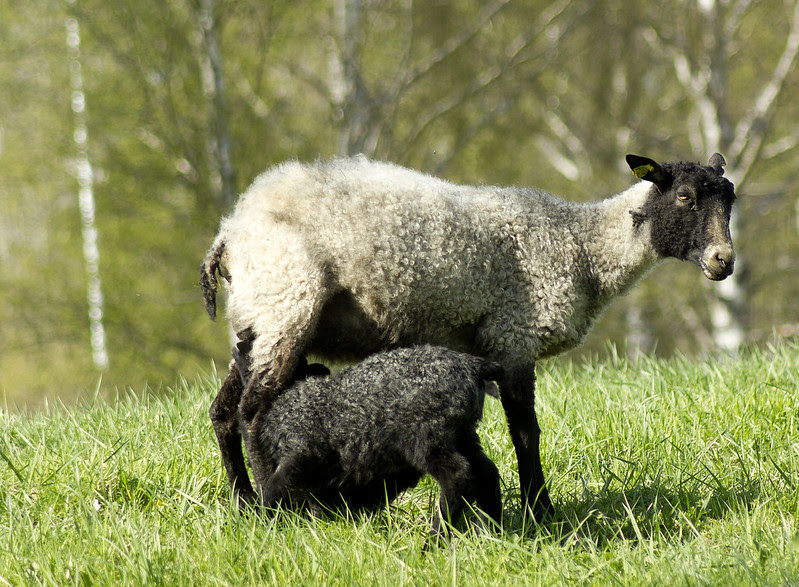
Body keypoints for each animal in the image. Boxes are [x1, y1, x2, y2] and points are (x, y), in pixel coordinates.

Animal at [252, 345, 503, 541]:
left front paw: (259, 525)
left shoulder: (299, 455)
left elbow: (273, 489)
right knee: (487, 472)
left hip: (426, 437)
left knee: (457, 474)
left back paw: (433, 540)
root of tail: (471, 364)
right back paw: (487, 532)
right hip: (464, 435)